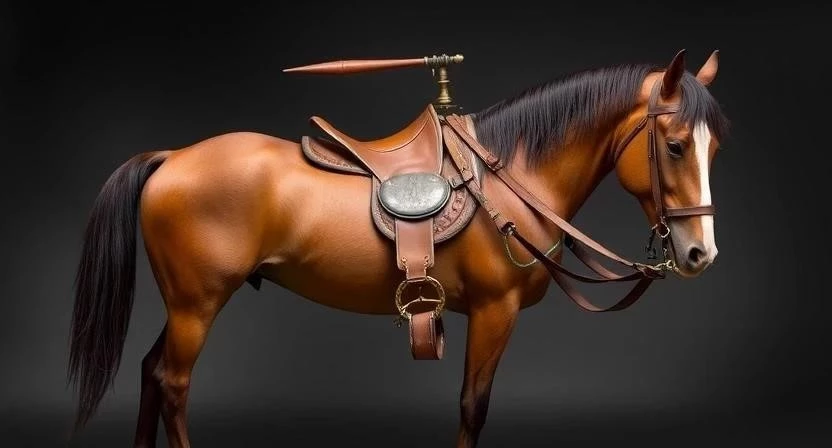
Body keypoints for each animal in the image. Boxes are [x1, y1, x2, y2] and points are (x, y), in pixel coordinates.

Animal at [67, 49, 729, 447]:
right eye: (674, 145)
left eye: (714, 147)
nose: (701, 254)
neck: (510, 176)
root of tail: (171, 158)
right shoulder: (495, 311)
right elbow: (472, 404)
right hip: (197, 305)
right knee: (173, 382)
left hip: (183, 305)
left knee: (151, 372)